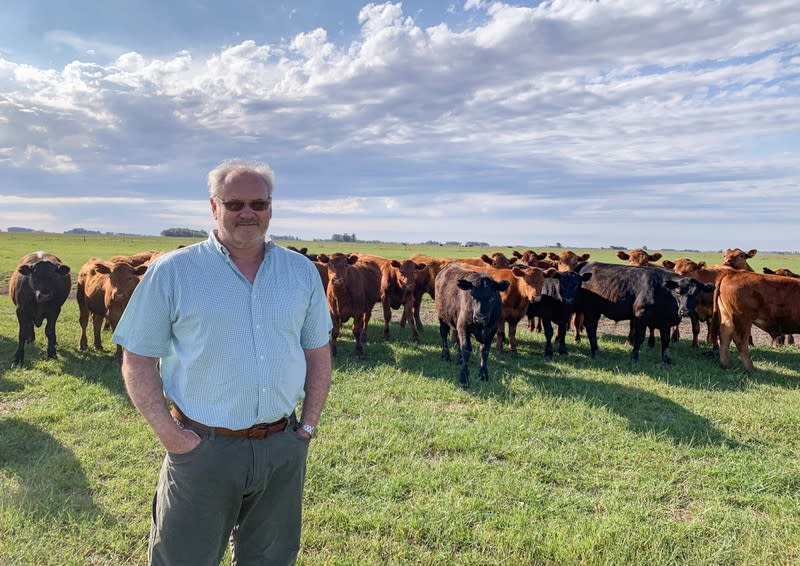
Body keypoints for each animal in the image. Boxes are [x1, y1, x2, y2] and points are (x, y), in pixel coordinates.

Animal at [576, 264, 712, 366]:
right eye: (678, 292)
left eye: (697, 293)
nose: (685, 311)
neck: (663, 291)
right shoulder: (640, 315)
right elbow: (639, 337)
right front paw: (634, 358)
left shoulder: (666, 322)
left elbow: (665, 340)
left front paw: (666, 360)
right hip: (590, 309)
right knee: (591, 327)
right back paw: (595, 352)